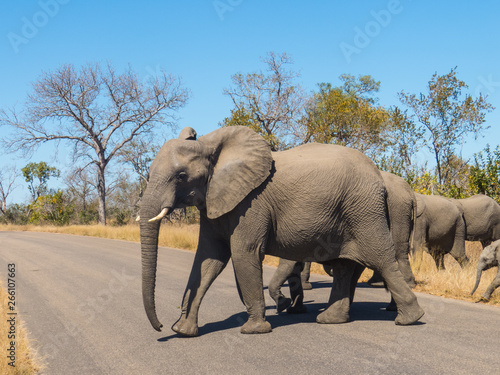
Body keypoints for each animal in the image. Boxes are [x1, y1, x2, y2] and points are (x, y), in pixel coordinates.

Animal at [139, 127, 424, 338]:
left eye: (181, 176)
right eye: (149, 175)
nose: (161, 327)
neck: (211, 146)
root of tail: (377, 173)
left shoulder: (251, 202)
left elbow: (243, 253)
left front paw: (255, 329)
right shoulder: (214, 202)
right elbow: (209, 258)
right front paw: (183, 331)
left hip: (364, 210)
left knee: (381, 258)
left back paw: (409, 319)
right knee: (345, 266)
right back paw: (330, 320)